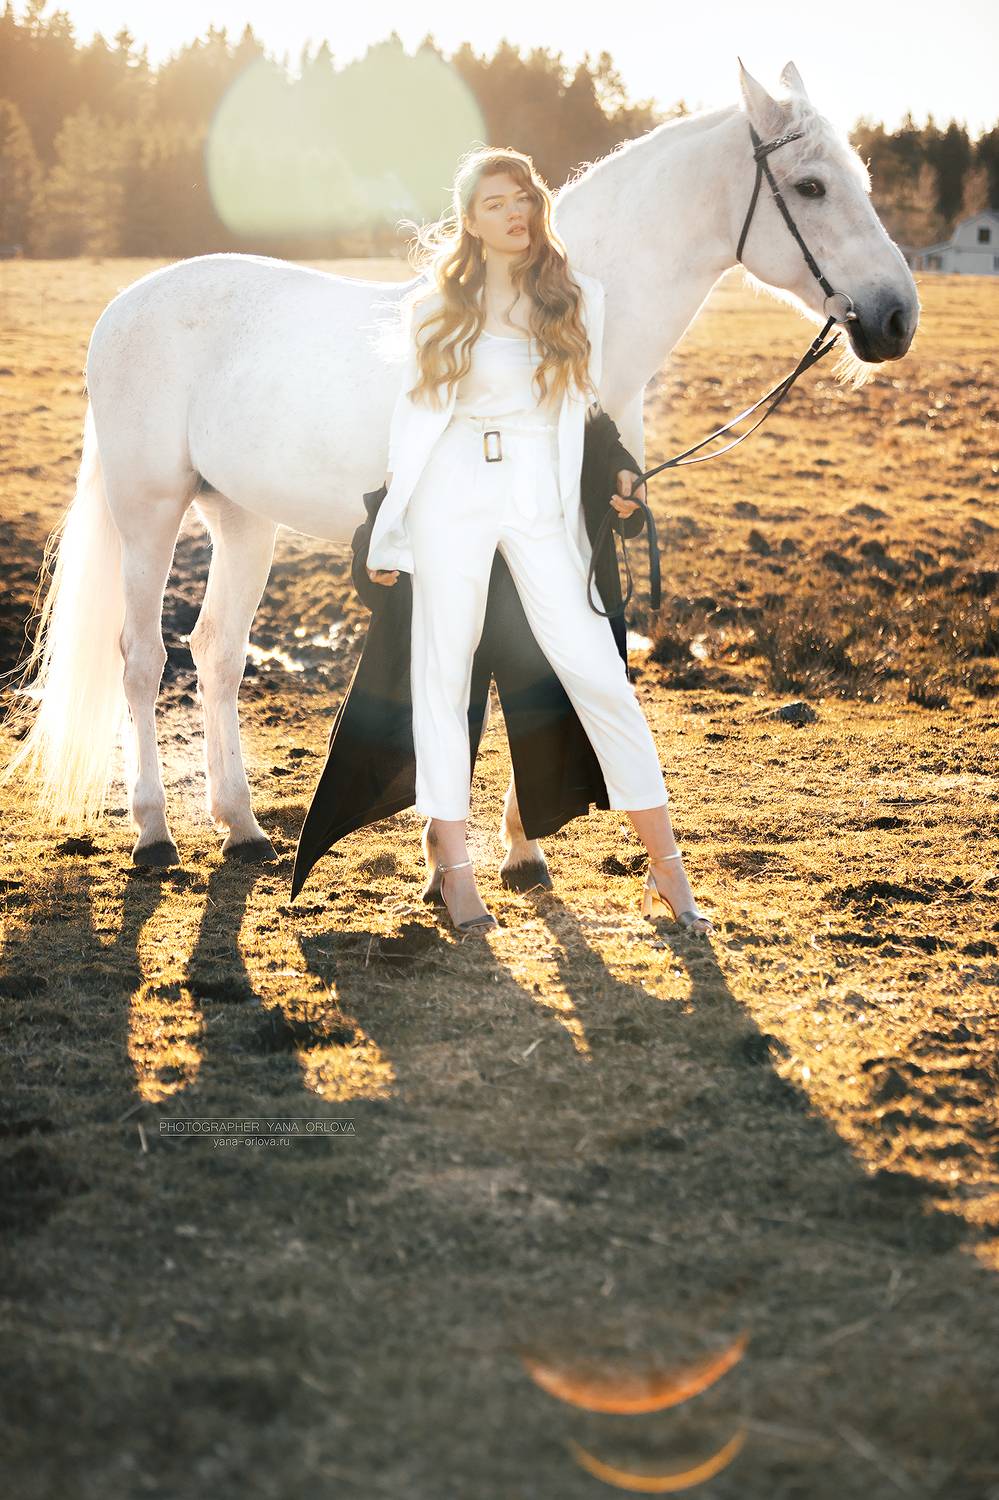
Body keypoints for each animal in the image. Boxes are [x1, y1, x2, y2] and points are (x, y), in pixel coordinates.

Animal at [1, 60, 919, 885]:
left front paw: (519, 851)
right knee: (142, 659)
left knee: (218, 653)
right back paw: (154, 835)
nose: (895, 317)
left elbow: (561, 667)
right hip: (148, 512)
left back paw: (242, 828)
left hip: (241, 518)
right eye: (809, 187)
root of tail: (127, 305)